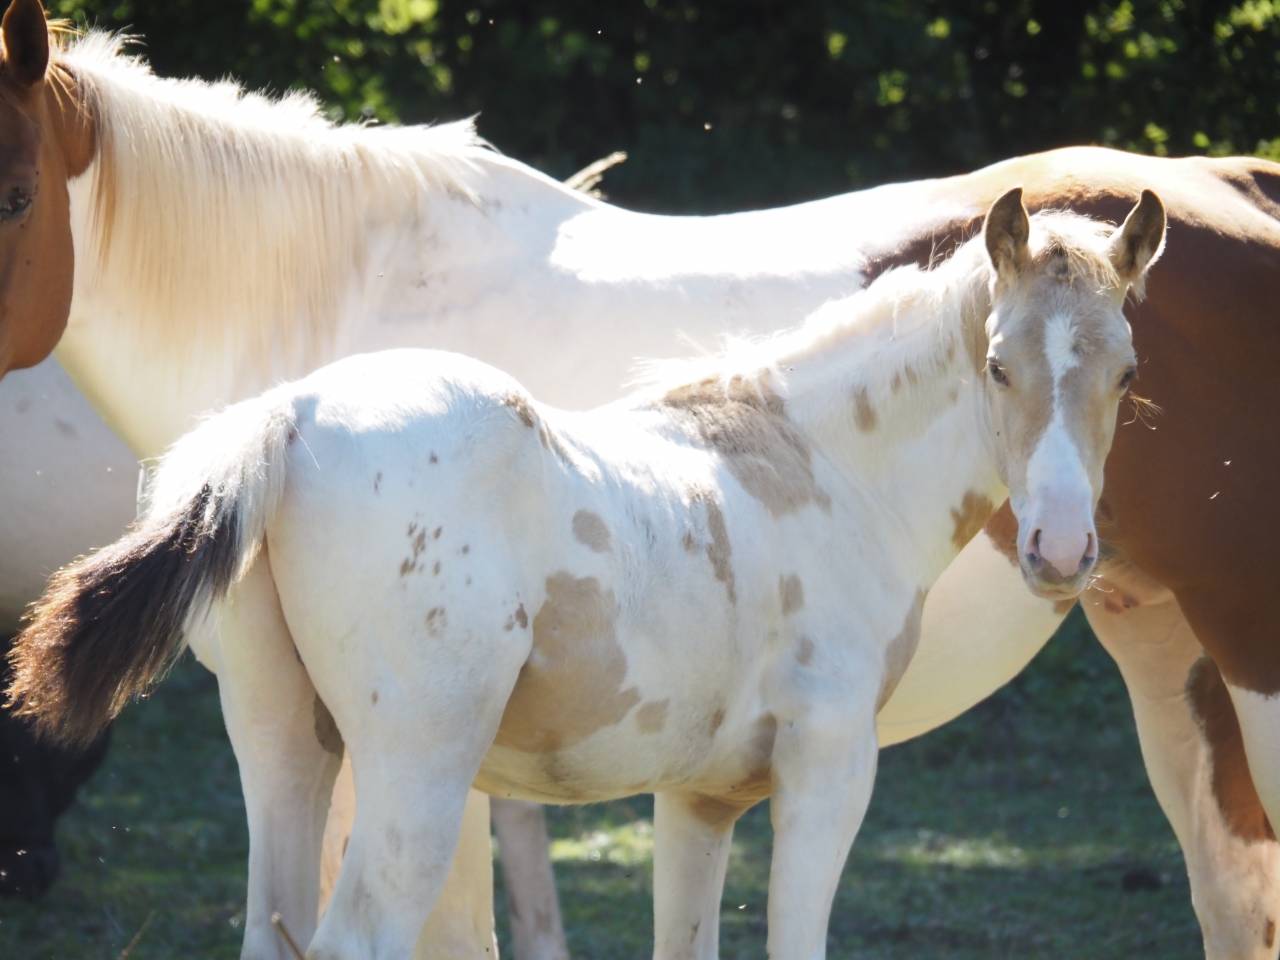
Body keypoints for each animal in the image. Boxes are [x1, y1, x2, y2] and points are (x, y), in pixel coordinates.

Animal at [0, 3, 1277, 955]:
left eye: (1126, 374)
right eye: (998, 366)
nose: (1058, 547)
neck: (812, 460)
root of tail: (292, 415)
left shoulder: (700, 795)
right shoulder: (821, 769)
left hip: (293, 742)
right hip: (398, 763)